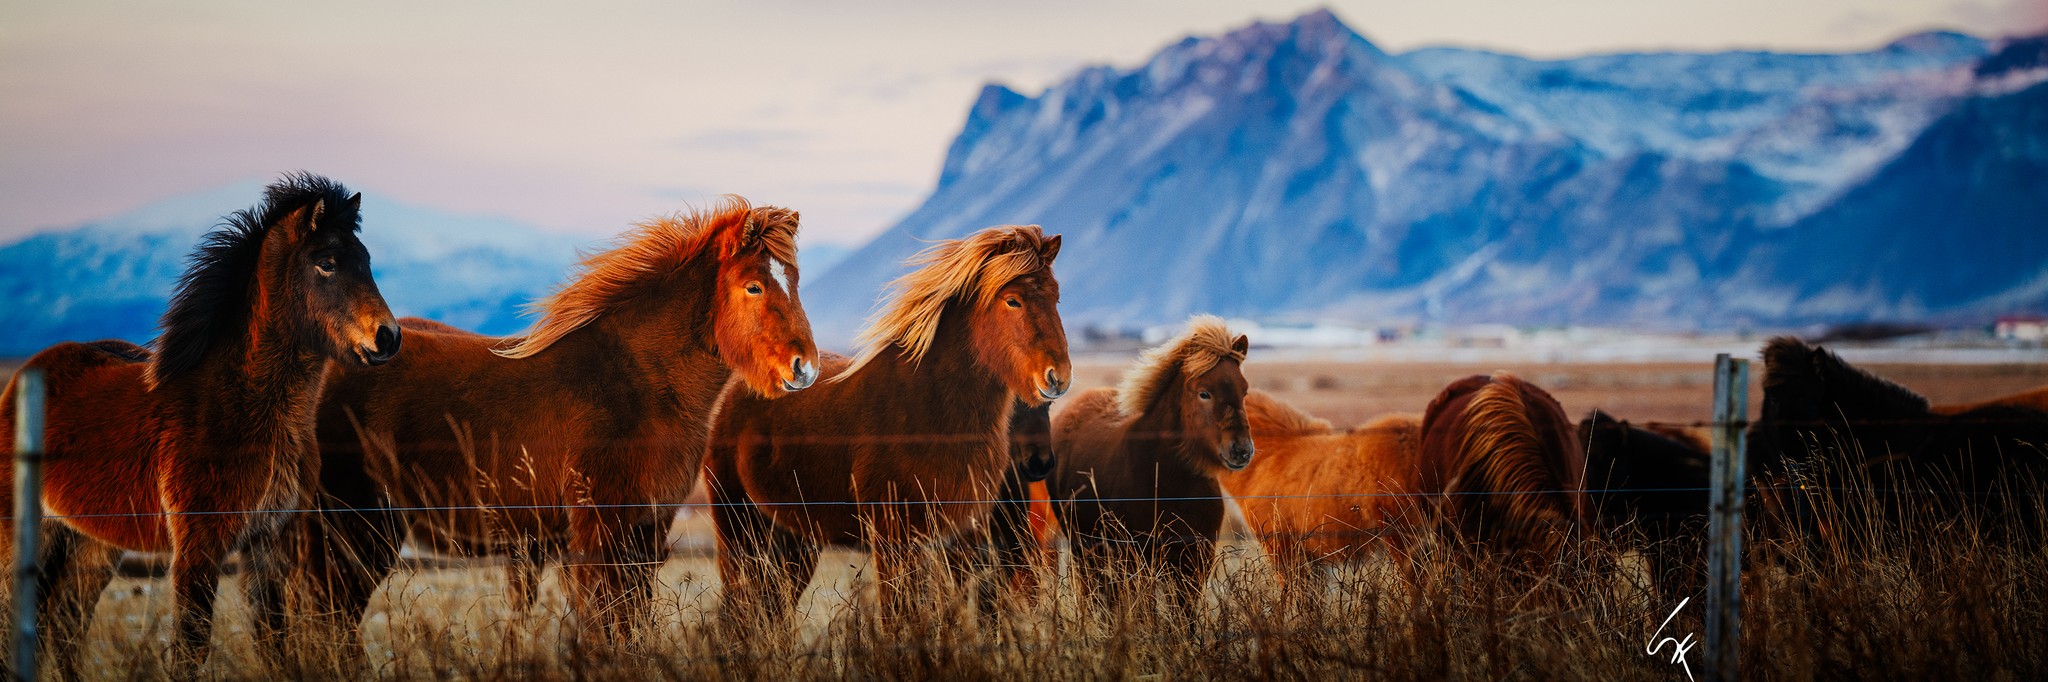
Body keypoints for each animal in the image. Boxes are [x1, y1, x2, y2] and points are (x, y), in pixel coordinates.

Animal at [0, 173, 398, 677]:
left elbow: (274, 642)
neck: (237, 407)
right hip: (22, 533)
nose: (388, 337)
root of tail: (25, 376)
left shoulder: (268, 546)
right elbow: (189, 649)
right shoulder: (198, 549)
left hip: (91, 543)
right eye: (326, 264)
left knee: (65, 620)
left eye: (366, 262)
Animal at [298, 197, 817, 643]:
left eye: (794, 281)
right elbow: (605, 625)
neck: (639, 380)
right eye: (754, 285)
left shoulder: (647, 529)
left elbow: (631, 620)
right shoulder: (596, 531)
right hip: (352, 526)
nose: (804, 368)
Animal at [704, 224, 1069, 624]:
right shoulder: (894, 539)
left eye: (1056, 298)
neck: (930, 411)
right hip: (740, 533)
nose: (1057, 377)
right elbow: (900, 617)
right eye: (1012, 301)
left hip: (792, 540)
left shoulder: (956, 541)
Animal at [1043, 315, 1252, 616]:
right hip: (1085, 550)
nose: (1241, 450)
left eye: (1244, 390)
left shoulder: (1193, 562)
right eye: (1204, 393)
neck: (1173, 482)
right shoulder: (1139, 561)